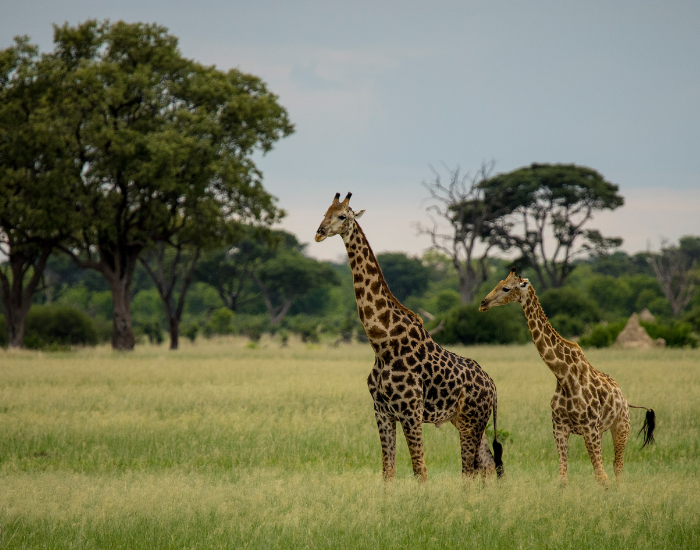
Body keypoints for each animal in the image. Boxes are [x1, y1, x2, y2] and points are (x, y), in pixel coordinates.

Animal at [315, 192, 503, 482]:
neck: (382, 344)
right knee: (486, 465)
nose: (319, 232)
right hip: (465, 421)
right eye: (325, 212)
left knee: (470, 469)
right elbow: (388, 470)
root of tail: (493, 387)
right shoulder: (381, 410)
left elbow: (420, 469)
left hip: (471, 421)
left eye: (342, 215)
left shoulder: (410, 411)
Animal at [479, 268, 655, 485]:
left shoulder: (588, 427)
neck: (563, 375)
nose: (483, 303)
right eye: (498, 283)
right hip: (601, 431)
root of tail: (624, 399)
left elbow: (601, 476)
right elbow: (563, 478)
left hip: (621, 425)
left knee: (617, 466)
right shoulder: (560, 427)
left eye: (506, 288)